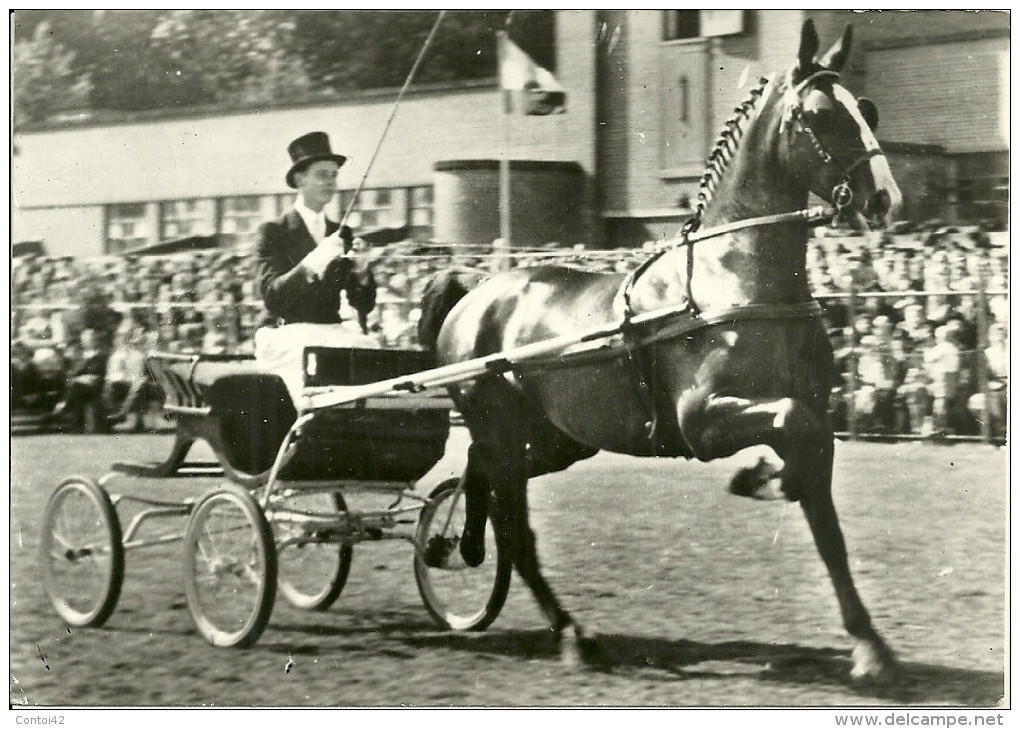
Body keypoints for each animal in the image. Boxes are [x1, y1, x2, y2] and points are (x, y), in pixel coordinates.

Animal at [418, 21, 905, 685]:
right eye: (822, 115)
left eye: (869, 110)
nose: (886, 200)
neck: (737, 281)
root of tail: (475, 290)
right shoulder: (701, 420)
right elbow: (792, 429)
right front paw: (761, 477)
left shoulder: (812, 410)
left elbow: (825, 518)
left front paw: (869, 644)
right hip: (505, 429)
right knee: (512, 524)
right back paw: (569, 632)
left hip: (557, 440)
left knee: (479, 472)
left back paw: (459, 544)